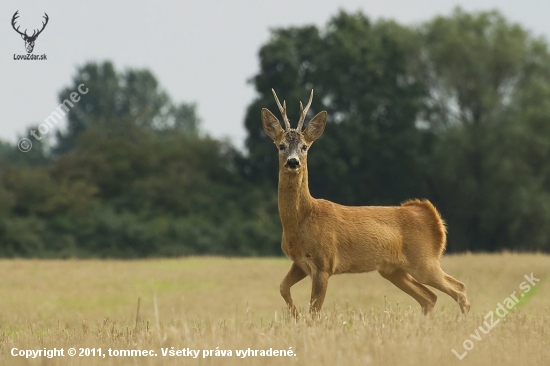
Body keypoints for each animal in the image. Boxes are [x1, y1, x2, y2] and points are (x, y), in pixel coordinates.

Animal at [262, 88, 470, 314]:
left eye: (304, 146)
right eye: (281, 146)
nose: (293, 162)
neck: (303, 218)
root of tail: (430, 214)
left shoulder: (324, 263)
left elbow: (314, 311)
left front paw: (301, 317)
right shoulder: (300, 263)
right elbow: (283, 287)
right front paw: (294, 314)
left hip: (424, 259)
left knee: (459, 288)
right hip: (393, 270)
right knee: (429, 296)